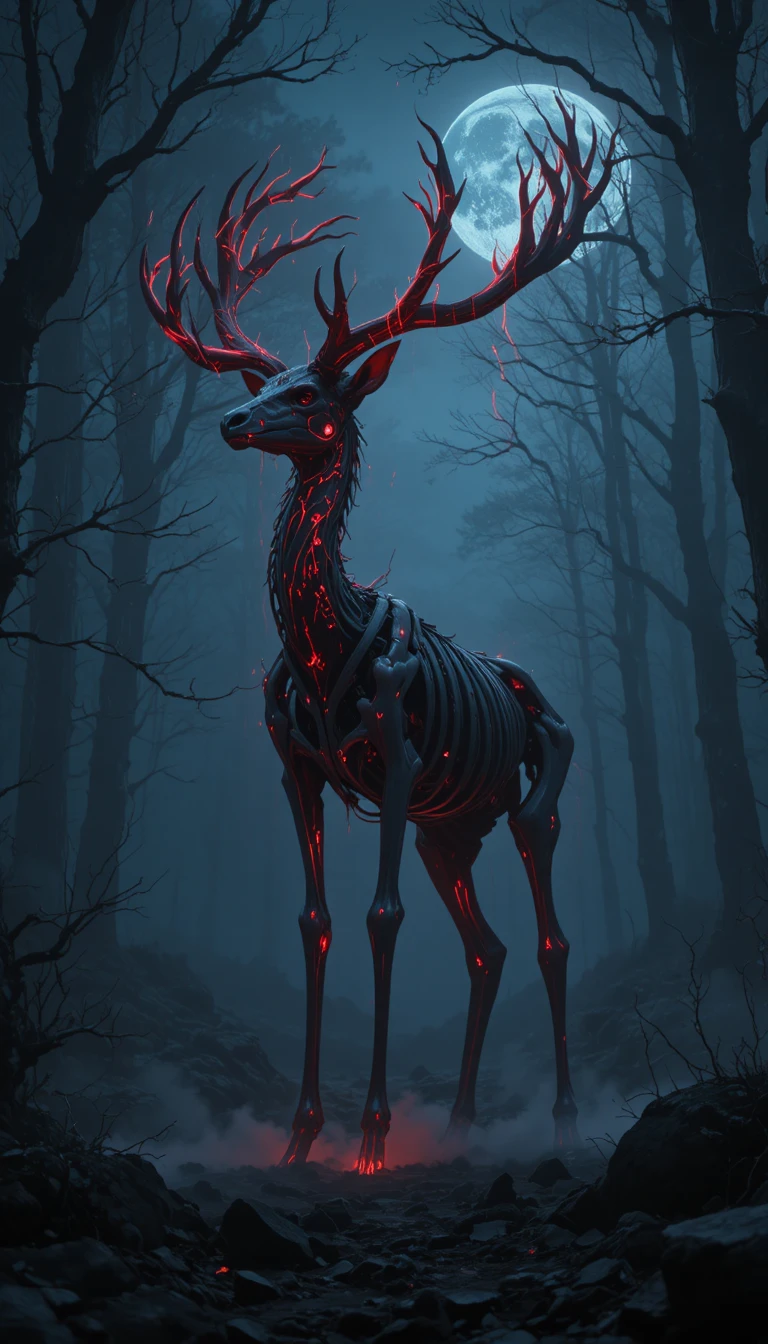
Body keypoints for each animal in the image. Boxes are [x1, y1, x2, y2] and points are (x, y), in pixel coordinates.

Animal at [141, 100, 616, 1173]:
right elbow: (315, 919)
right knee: (485, 948)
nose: (232, 418)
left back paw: (564, 1118)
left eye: (309, 396)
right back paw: (467, 1120)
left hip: (535, 789)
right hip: (453, 826)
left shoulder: (396, 756)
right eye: (270, 381)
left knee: (551, 930)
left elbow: (381, 917)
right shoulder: (295, 764)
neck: (329, 645)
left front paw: (368, 1132)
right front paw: (302, 1134)